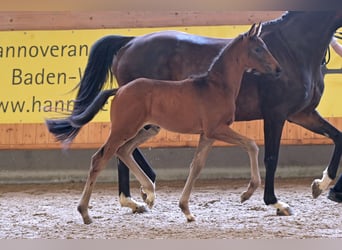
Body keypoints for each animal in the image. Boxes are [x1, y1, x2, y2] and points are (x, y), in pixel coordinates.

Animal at [47, 10, 342, 216]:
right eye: (259, 49)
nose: (277, 69)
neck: (296, 48)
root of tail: (128, 43)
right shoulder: (274, 115)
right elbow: (266, 154)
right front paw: (274, 202)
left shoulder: (301, 113)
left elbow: (337, 137)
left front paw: (324, 186)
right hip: (133, 122)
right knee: (111, 153)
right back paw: (129, 199)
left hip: (145, 123)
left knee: (122, 150)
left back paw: (143, 192)